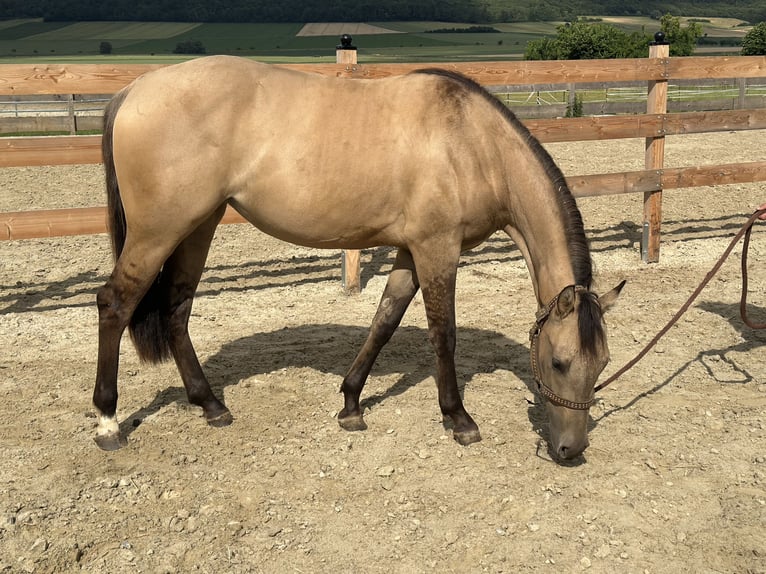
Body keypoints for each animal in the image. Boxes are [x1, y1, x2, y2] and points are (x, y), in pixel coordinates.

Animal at [93, 55, 624, 461]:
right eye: (558, 362)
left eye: (602, 363)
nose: (571, 449)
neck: (473, 143)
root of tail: (134, 90)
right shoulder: (437, 248)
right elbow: (443, 334)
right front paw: (458, 418)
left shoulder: (411, 250)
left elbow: (384, 321)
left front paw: (351, 404)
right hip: (159, 231)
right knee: (115, 304)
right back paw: (108, 421)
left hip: (198, 226)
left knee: (176, 309)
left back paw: (210, 405)